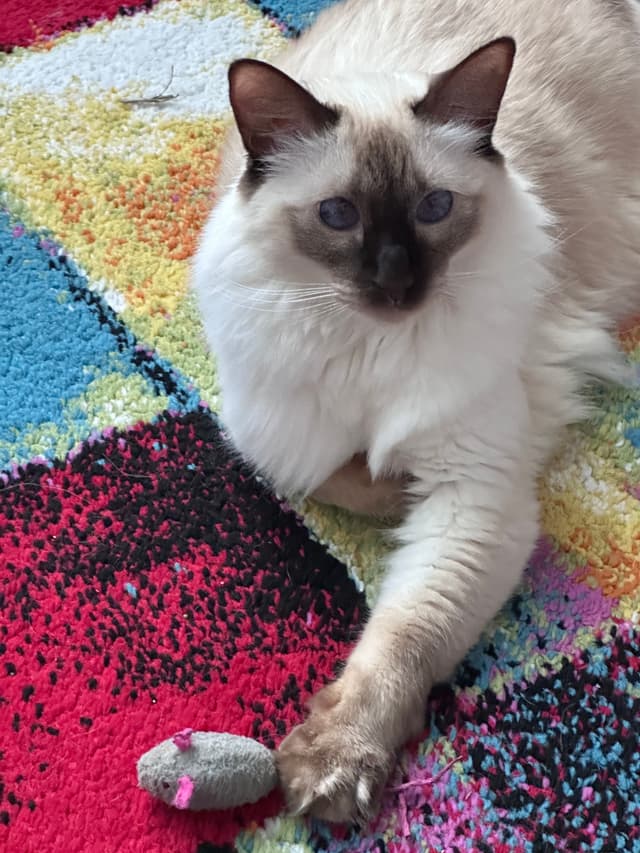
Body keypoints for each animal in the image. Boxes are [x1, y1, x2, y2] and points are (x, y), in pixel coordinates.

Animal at [194, 0, 640, 824]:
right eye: (338, 216)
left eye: (435, 209)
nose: (398, 282)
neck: (372, 344)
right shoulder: (270, 432)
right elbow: (343, 474)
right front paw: (393, 491)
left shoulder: (475, 496)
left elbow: (406, 635)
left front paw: (336, 767)